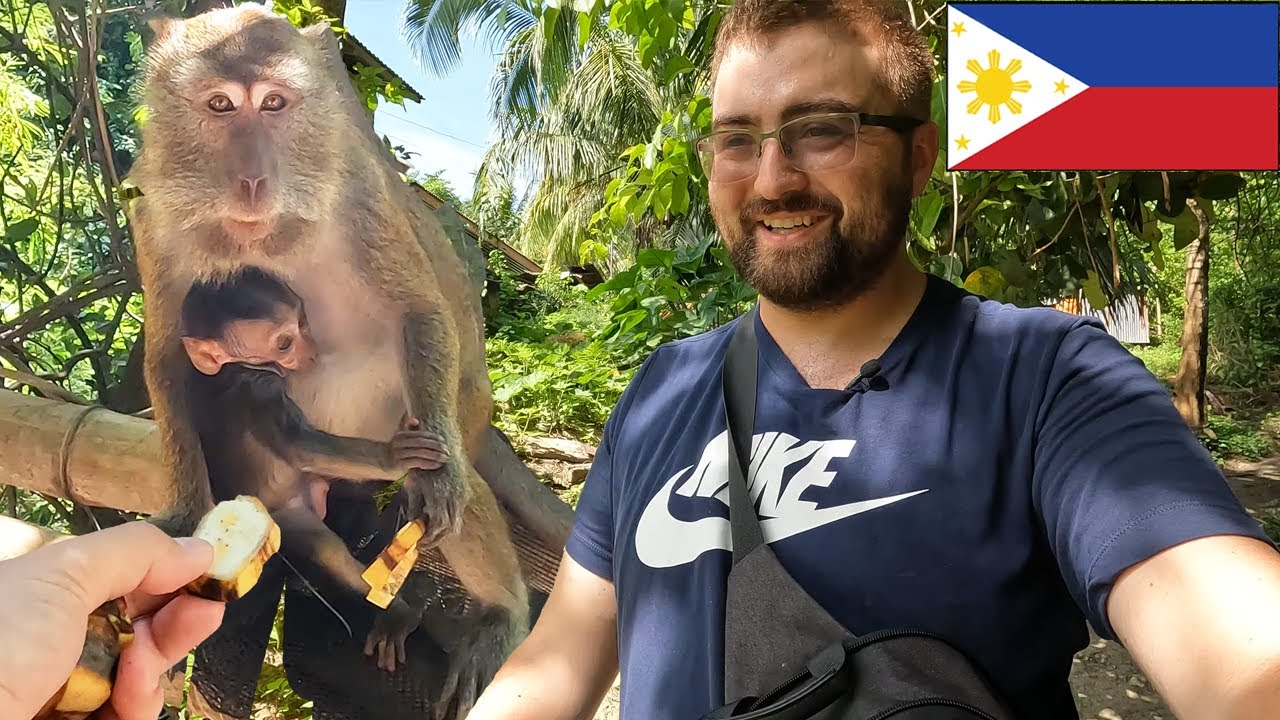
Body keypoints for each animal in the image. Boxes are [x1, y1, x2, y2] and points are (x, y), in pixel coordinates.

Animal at [180, 265, 448, 670]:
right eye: (284, 343)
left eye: (303, 321)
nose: (312, 350)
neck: (233, 369)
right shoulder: (260, 388)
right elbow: (301, 447)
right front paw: (394, 458)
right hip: (286, 520)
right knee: (327, 551)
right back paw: (398, 612)